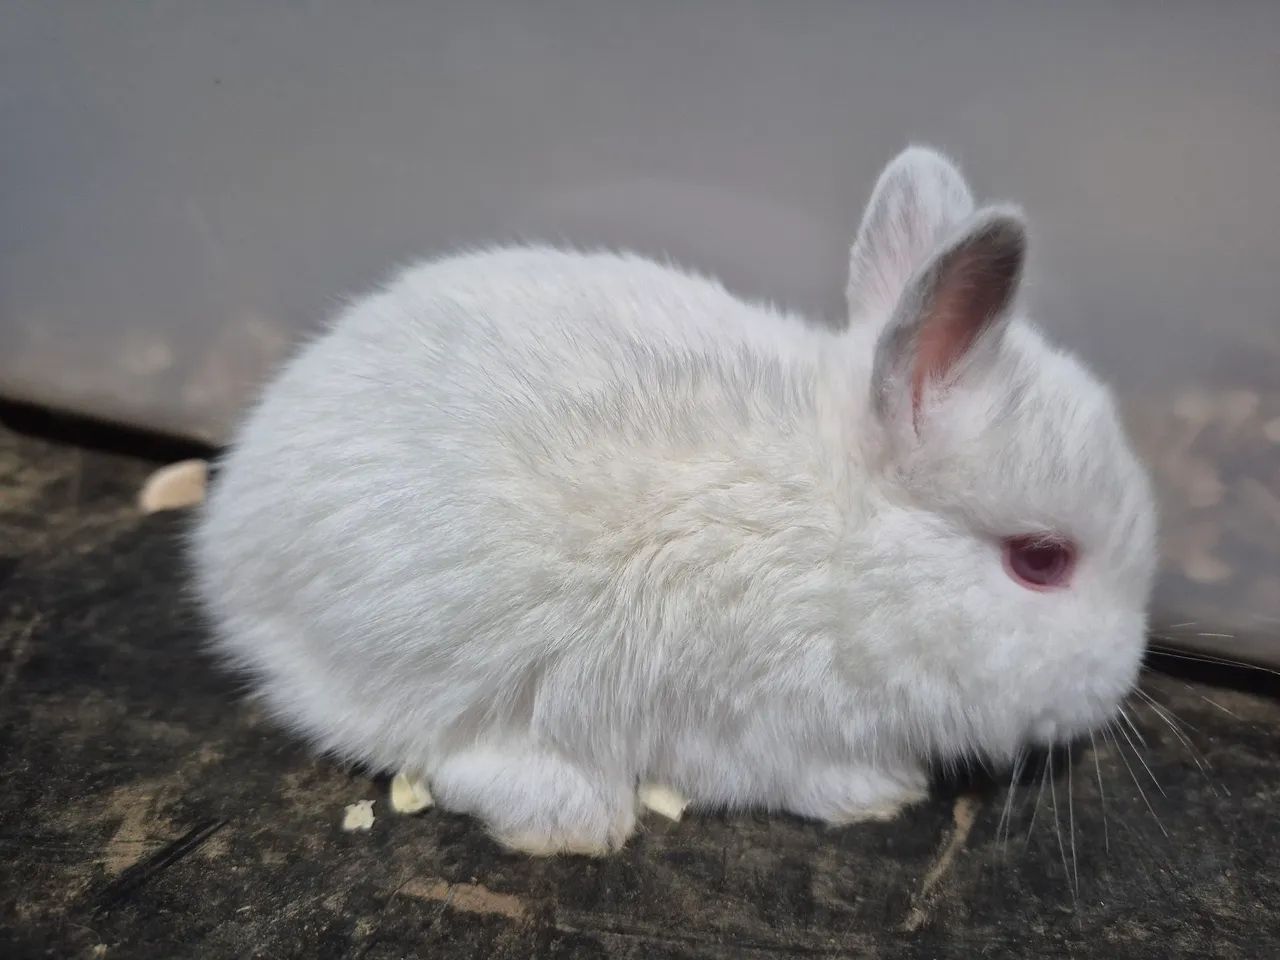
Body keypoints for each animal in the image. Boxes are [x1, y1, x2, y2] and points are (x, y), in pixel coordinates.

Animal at [191, 146, 1158, 856]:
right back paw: (574, 818)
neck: (841, 536)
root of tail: (225, 539)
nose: (1121, 681)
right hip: (442, 653)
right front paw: (885, 794)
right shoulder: (771, 726)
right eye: (1041, 561)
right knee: (445, 751)